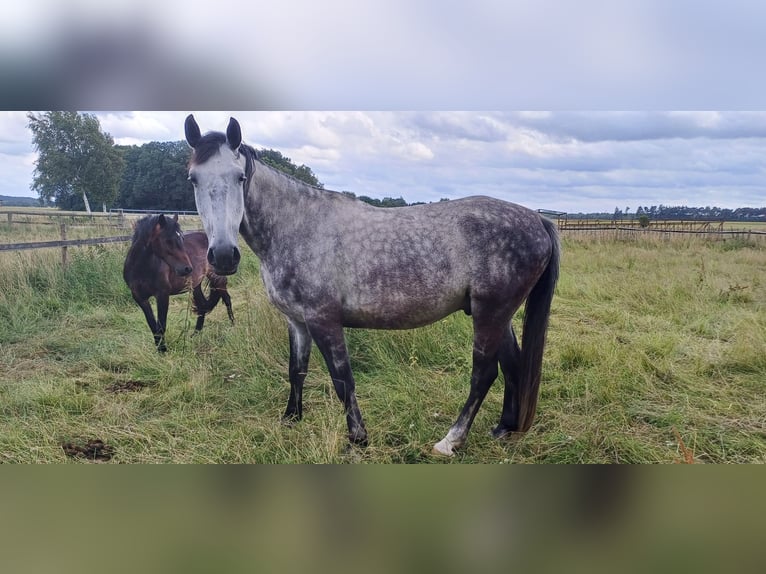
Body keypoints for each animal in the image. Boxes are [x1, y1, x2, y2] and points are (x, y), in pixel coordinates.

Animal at [123, 213, 234, 352]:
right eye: (167, 241)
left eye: (181, 238)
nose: (187, 268)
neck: (141, 268)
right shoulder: (140, 298)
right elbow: (152, 325)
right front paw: (159, 349)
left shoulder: (162, 295)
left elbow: (161, 325)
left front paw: (163, 350)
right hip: (196, 285)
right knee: (203, 305)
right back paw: (195, 335)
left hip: (217, 278)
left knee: (227, 299)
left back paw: (232, 326)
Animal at [184, 114, 560, 456]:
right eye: (193, 179)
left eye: (240, 177)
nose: (223, 256)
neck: (297, 226)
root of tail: (537, 219)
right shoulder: (297, 322)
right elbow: (296, 370)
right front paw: (291, 419)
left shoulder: (323, 319)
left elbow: (342, 379)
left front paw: (358, 438)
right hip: (500, 315)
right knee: (512, 365)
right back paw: (504, 429)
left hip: (490, 313)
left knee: (483, 374)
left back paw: (450, 441)